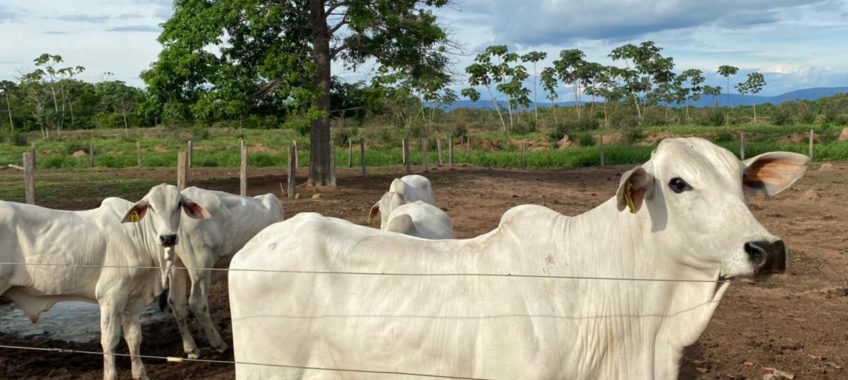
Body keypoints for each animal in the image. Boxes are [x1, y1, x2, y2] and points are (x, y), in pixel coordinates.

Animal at [0, 183, 210, 378]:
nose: (168, 238)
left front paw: (140, 374)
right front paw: (110, 375)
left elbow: (134, 337)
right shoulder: (111, 296)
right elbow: (110, 341)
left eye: (179, 204)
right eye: (151, 206)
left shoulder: (133, 299)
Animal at [166, 187, 284, 360]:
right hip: (201, 265)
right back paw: (218, 344)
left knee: (176, 303)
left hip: (176, 265)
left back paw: (191, 349)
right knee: (197, 303)